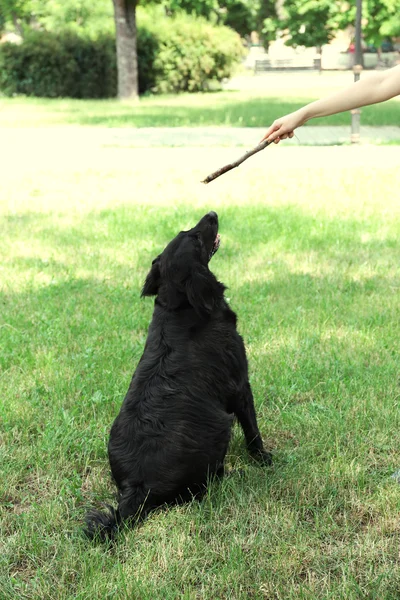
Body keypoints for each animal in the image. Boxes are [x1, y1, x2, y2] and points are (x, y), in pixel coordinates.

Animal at [86, 213, 270, 540]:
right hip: (221, 428)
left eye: (187, 230)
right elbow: (253, 430)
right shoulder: (240, 384)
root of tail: (137, 487)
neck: (181, 306)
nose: (212, 214)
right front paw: (263, 458)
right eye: (195, 238)